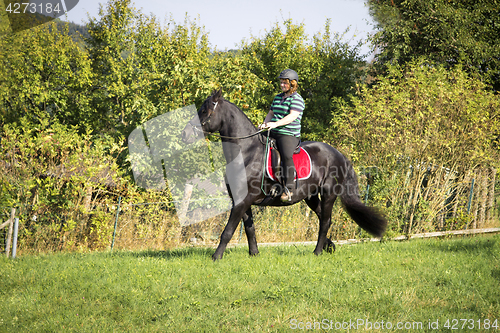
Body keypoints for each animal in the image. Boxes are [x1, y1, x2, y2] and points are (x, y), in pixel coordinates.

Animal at [181, 89, 386, 260]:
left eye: (205, 111)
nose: (185, 135)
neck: (246, 154)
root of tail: (339, 154)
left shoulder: (242, 201)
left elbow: (228, 231)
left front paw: (216, 257)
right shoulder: (242, 201)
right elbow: (249, 229)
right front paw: (254, 254)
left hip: (329, 193)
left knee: (325, 221)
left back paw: (317, 251)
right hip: (310, 196)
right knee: (322, 218)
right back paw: (329, 246)